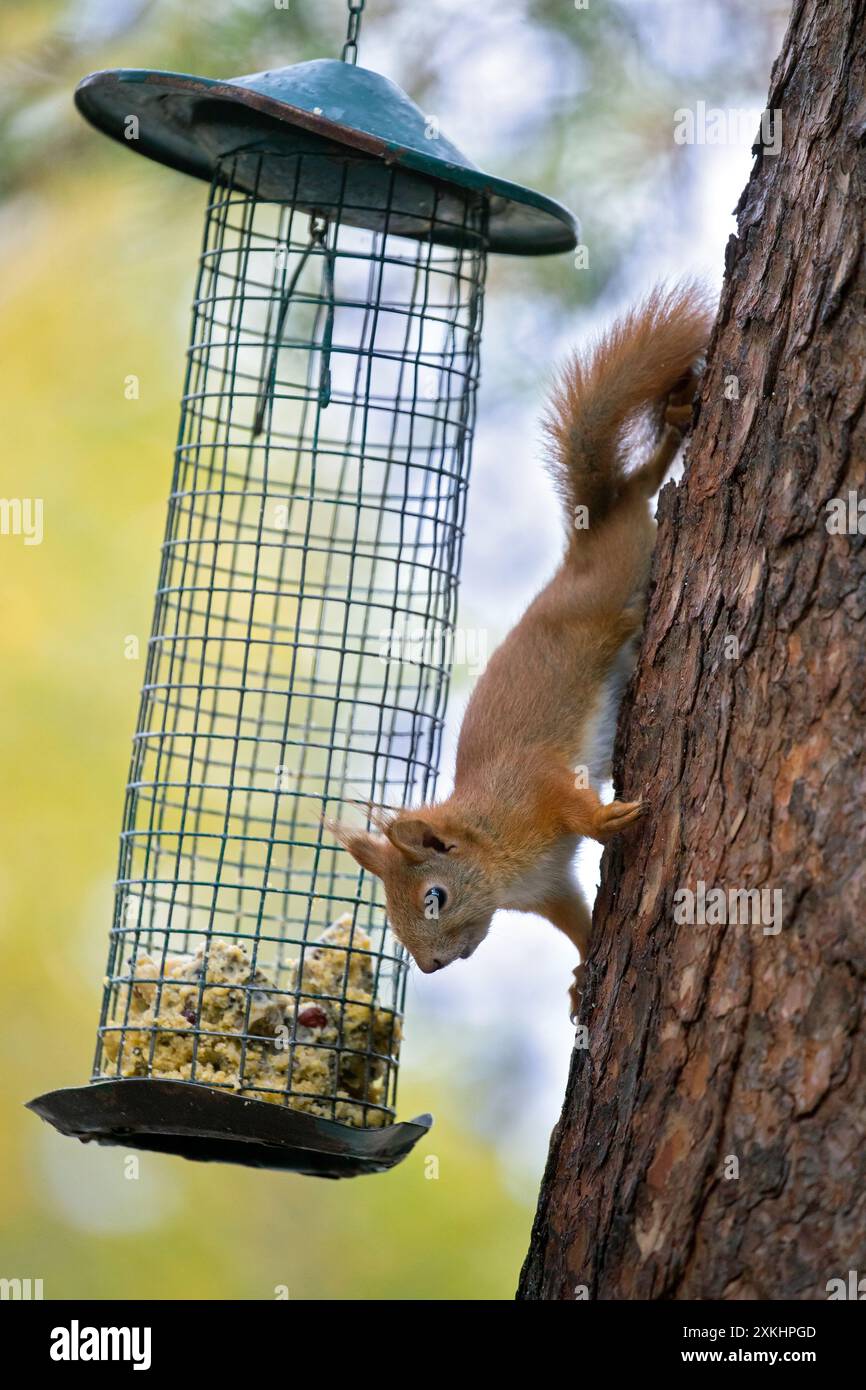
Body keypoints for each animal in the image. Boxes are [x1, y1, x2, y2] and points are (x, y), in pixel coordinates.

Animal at [329, 283, 713, 1016]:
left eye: (434, 896)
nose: (431, 968)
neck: (493, 846)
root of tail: (584, 546)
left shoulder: (532, 784)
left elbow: (570, 801)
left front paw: (607, 816)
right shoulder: (549, 888)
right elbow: (577, 922)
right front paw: (582, 972)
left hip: (619, 580)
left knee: (638, 494)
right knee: (635, 488)